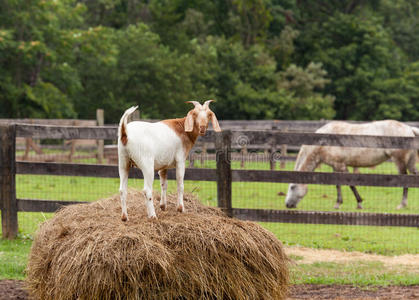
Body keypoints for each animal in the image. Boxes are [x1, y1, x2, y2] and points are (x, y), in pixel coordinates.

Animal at [286, 120, 419, 210]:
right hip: (410, 162)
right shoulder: (335, 166)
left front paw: (358, 203)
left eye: (292, 187)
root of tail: (409, 128)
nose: (287, 204)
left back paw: (402, 204)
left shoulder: (340, 165)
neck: (322, 141)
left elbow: (350, 184)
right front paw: (339, 203)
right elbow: (338, 184)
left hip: (399, 161)